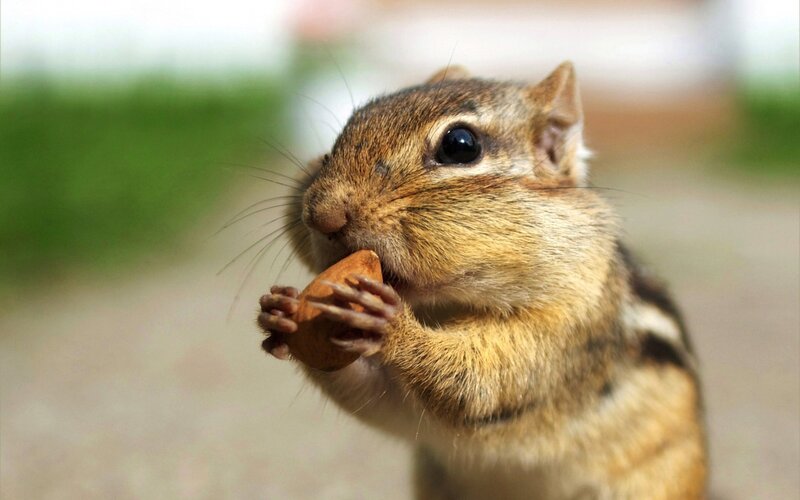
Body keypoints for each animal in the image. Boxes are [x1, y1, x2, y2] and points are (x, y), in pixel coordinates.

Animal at [257, 62, 707, 499]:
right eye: (338, 139)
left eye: (460, 145)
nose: (321, 214)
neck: (445, 305)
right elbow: (372, 394)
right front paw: (280, 312)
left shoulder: (567, 330)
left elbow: (480, 380)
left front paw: (389, 323)